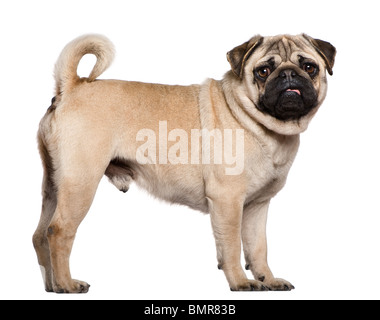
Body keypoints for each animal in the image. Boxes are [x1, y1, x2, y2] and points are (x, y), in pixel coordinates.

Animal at [33, 33, 336, 292]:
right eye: (263, 71)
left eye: (309, 67)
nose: (288, 75)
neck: (257, 122)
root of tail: (71, 87)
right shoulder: (228, 201)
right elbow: (231, 247)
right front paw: (240, 282)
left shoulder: (257, 207)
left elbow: (258, 248)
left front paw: (268, 280)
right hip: (80, 184)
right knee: (59, 232)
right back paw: (67, 285)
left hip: (54, 186)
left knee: (40, 235)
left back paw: (51, 285)